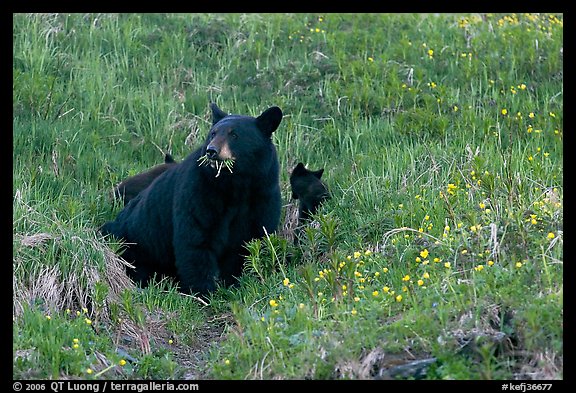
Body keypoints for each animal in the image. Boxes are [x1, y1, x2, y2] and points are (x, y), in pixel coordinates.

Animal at [103, 103, 286, 294]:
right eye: (213, 133)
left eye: (234, 134)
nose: (211, 151)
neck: (236, 185)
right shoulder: (200, 191)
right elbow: (196, 238)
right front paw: (202, 292)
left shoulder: (263, 195)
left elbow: (248, 242)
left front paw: (232, 285)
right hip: (132, 240)